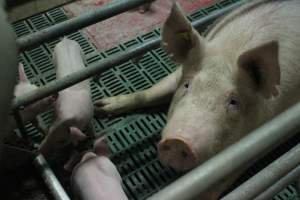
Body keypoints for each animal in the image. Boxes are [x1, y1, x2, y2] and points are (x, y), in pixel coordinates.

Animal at [94, 0, 300, 198]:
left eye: (233, 102)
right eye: (187, 85)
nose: (178, 142)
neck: (231, 51)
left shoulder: (260, 138)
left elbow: (219, 182)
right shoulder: (179, 73)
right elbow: (151, 92)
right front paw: (101, 107)